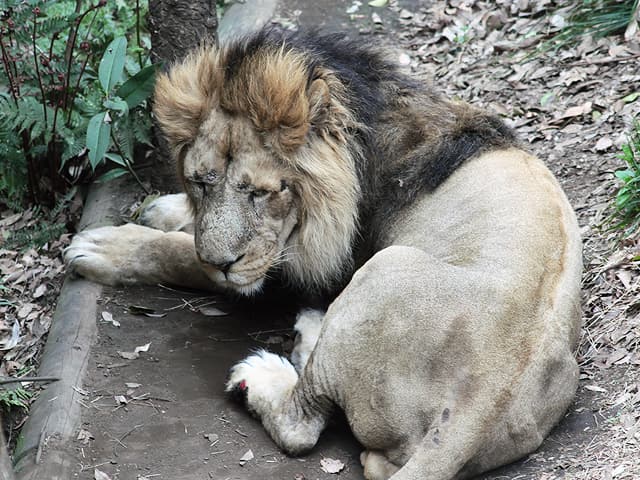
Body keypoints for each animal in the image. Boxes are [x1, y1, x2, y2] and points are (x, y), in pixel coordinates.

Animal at [66, 29, 584, 480]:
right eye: (200, 181)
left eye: (261, 193)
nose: (223, 263)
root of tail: (476, 406)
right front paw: (165, 209)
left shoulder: (309, 263)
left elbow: (187, 255)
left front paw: (103, 245)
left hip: (385, 269)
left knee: (300, 426)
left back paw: (273, 364)